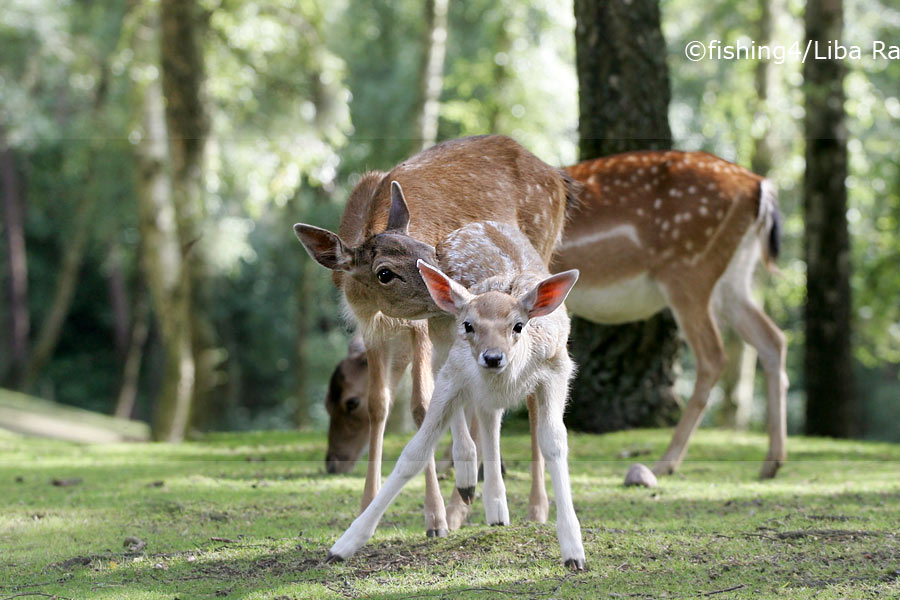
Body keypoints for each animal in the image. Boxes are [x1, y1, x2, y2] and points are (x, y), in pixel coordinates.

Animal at [296, 135, 576, 536]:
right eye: (385, 272)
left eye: (431, 251)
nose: (333, 462)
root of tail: (559, 178)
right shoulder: (374, 331)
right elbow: (381, 404)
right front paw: (365, 507)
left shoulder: (422, 328)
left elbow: (421, 405)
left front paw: (436, 517)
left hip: (546, 249)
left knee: (533, 399)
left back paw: (532, 507)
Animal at [320, 150, 784, 502]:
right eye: (326, 402)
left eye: (349, 403)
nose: (332, 463)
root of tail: (761, 187)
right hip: (732, 278)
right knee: (773, 337)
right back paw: (770, 463)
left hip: (689, 272)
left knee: (714, 355)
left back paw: (666, 462)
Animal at [326, 223, 588, 568]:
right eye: (468, 325)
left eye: (518, 326)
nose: (493, 357)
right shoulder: (453, 369)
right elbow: (414, 451)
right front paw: (344, 544)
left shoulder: (557, 370)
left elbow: (554, 442)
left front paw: (574, 550)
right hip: (437, 343)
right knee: (474, 414)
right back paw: (470, 483)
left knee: (490, 416)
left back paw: (496, 508)